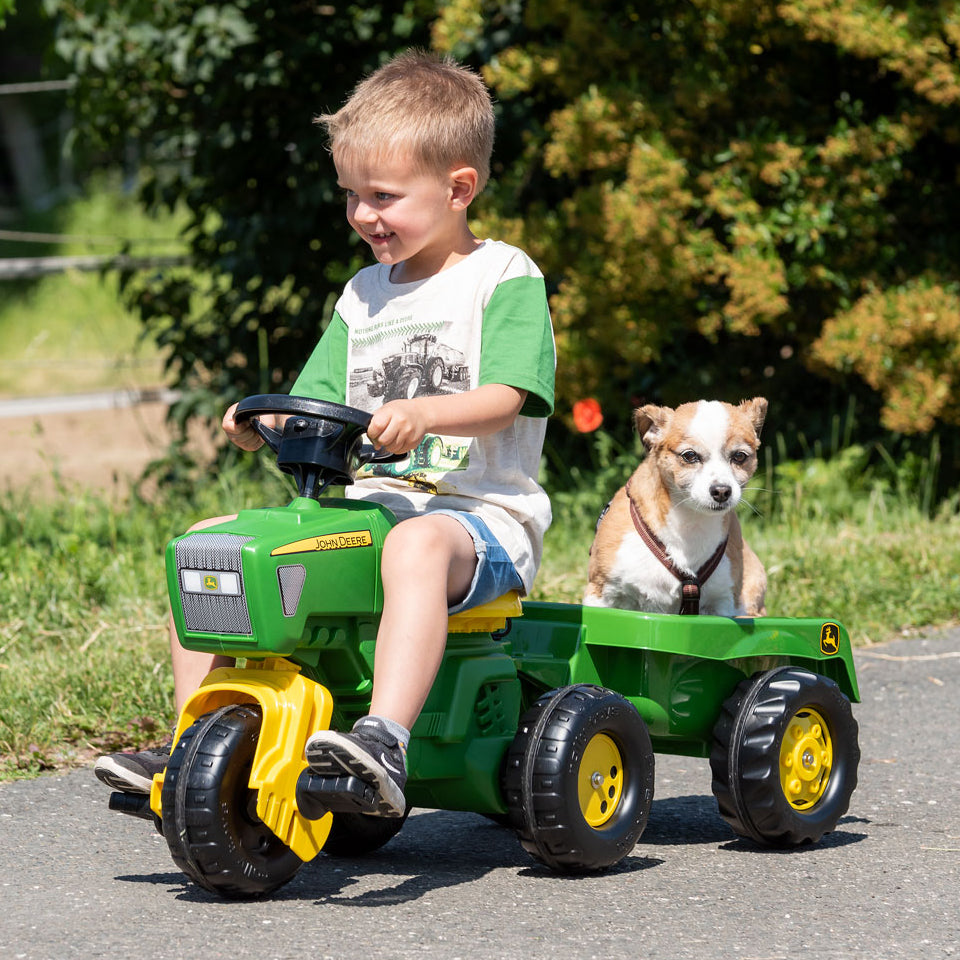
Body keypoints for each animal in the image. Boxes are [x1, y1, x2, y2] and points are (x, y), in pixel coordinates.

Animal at [580, 396, 768, 616]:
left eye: (740, 456)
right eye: (690, 456)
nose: (722, 490)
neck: (690, 524)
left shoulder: (722, 604)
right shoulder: (601, 593)